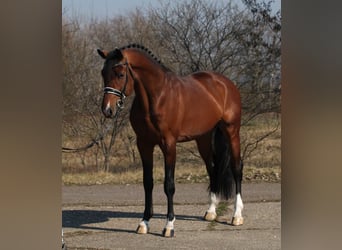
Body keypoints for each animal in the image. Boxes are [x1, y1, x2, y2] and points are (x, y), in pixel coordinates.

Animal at [97, 44, 244, 237]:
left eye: (120, 74)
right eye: (103, 73)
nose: (107, 110)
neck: (157, 97)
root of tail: (225, 83)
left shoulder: (169, 144)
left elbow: (169, 185)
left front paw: (169, 225)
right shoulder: (144, 144)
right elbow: (148, 182)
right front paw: (144, 222)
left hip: (232, 132)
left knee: (236, 169)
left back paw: (237, 215)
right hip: (203, 139)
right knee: (212, 169)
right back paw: (211, 211)